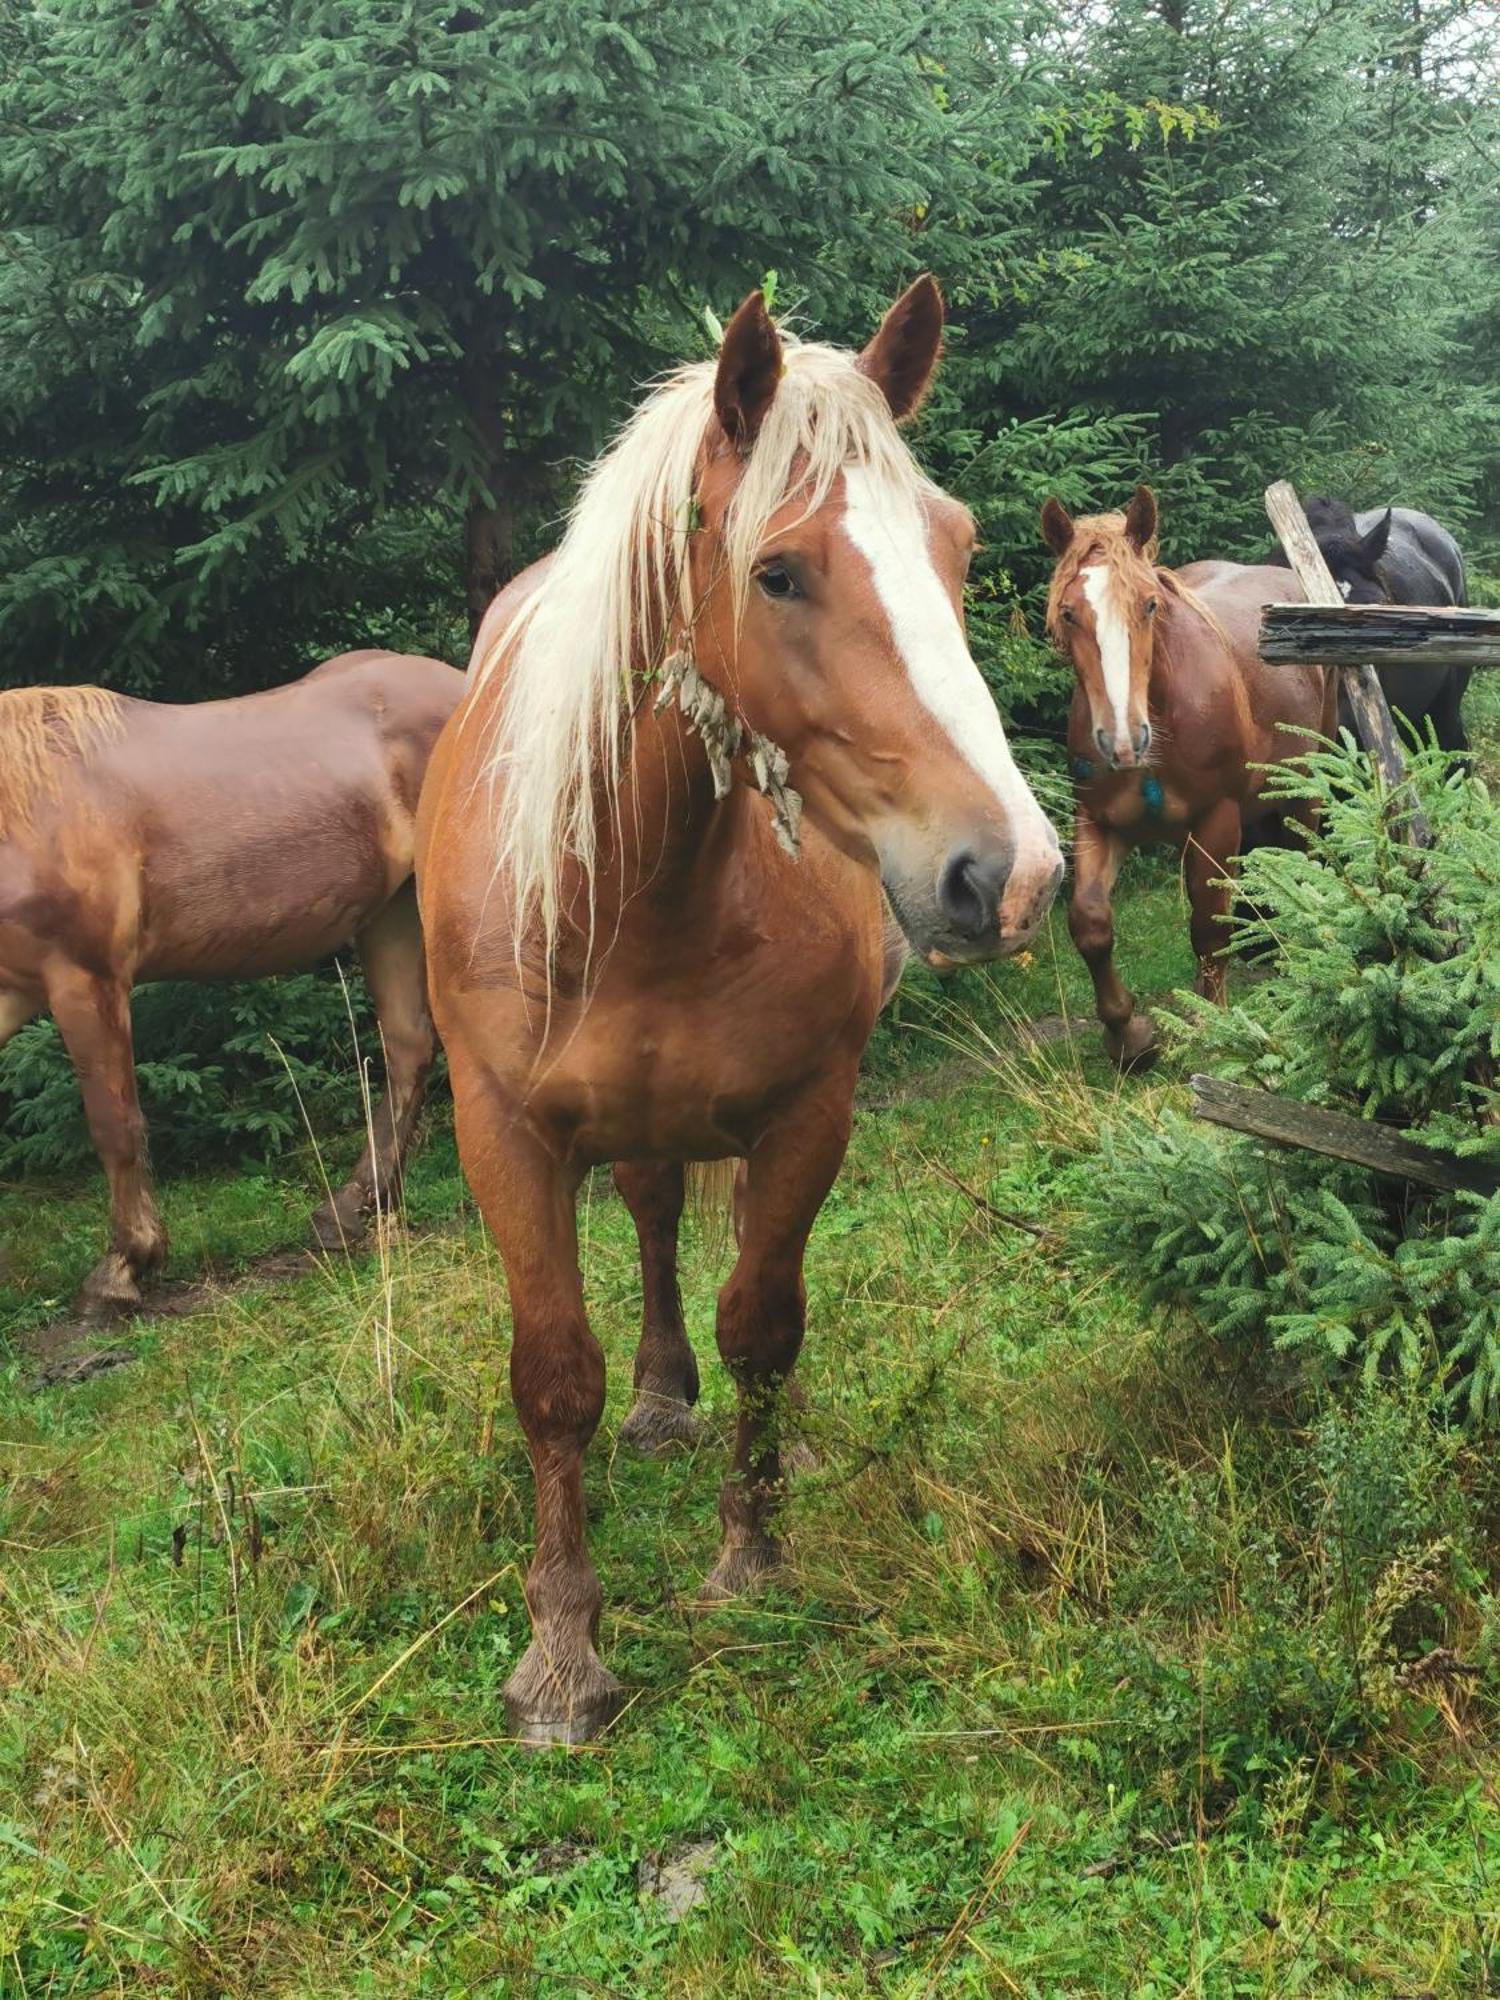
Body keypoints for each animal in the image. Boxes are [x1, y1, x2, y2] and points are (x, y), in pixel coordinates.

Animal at [0, 648, 464, 1320]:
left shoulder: (86, 980)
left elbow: (115, 1125)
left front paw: (121, 1270)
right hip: (393, 914)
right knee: (409, 1051)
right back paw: (350, 1212)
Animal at [418, 274, 1064, 1744]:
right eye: (779, 572)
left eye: (956, 548)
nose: (1009, 876)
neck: (632, 881)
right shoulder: (503, 1134)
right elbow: (553, 1374)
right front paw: (563, 1653)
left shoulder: (806, 1112)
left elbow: (763, 1323)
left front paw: (752, 1553)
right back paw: (657, 1405)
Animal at [1048, 486, 1336, 1072]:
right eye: (1069, 613)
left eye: (1148, 605)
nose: (1122, 740)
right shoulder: (1097, 821)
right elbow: (1090, 922)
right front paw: (1128, 1037)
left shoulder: (1214, 820)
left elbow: (1206, 921)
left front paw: (1211, 1024)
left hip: (1305, 788)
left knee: (1304, 859)